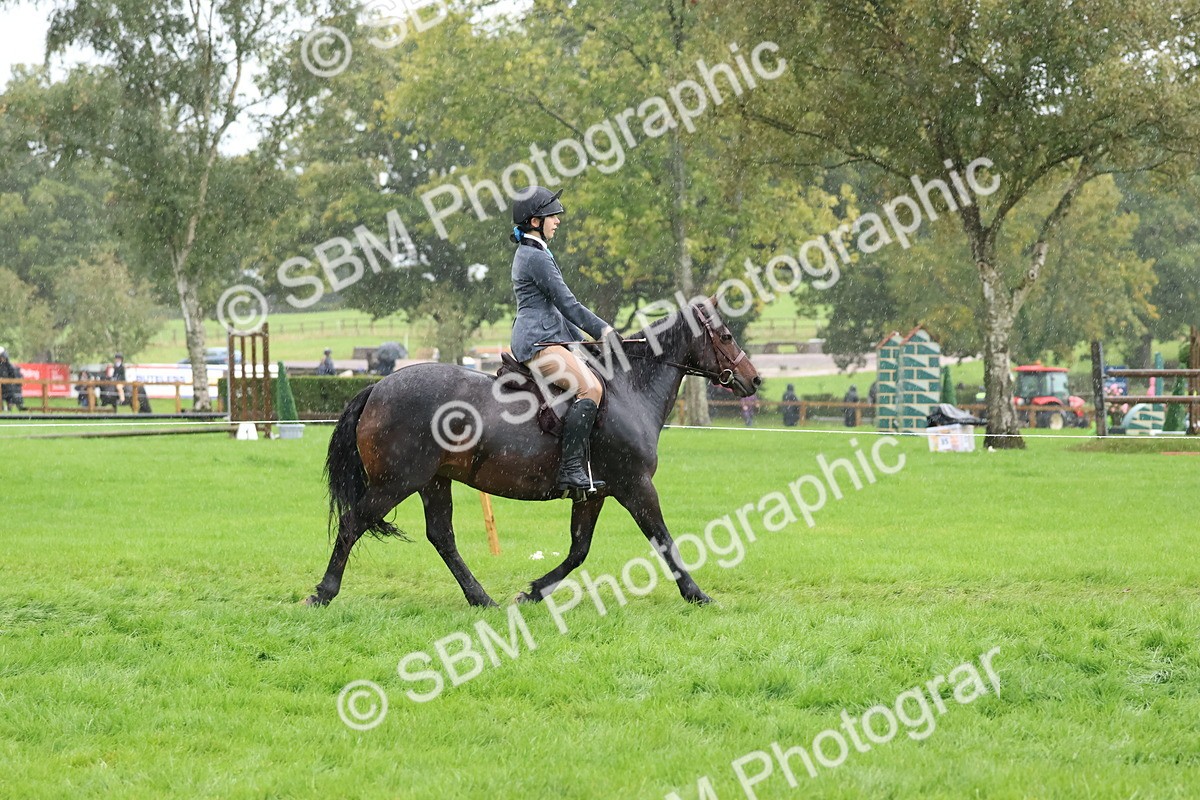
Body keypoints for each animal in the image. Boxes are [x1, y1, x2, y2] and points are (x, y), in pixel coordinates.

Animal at [307, 300, 761, 608]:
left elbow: (578, 550)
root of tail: (376, 387)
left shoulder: (594, 493)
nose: (754, 380)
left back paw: (481, 598)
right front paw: (697, 594)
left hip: (434, 481)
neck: (627, 391)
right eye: (725, 336)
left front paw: (533, 592)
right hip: (396, 482)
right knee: (353, 523)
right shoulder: (635, 486)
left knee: (442, 536)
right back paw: (323, 593)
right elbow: (664, 540)